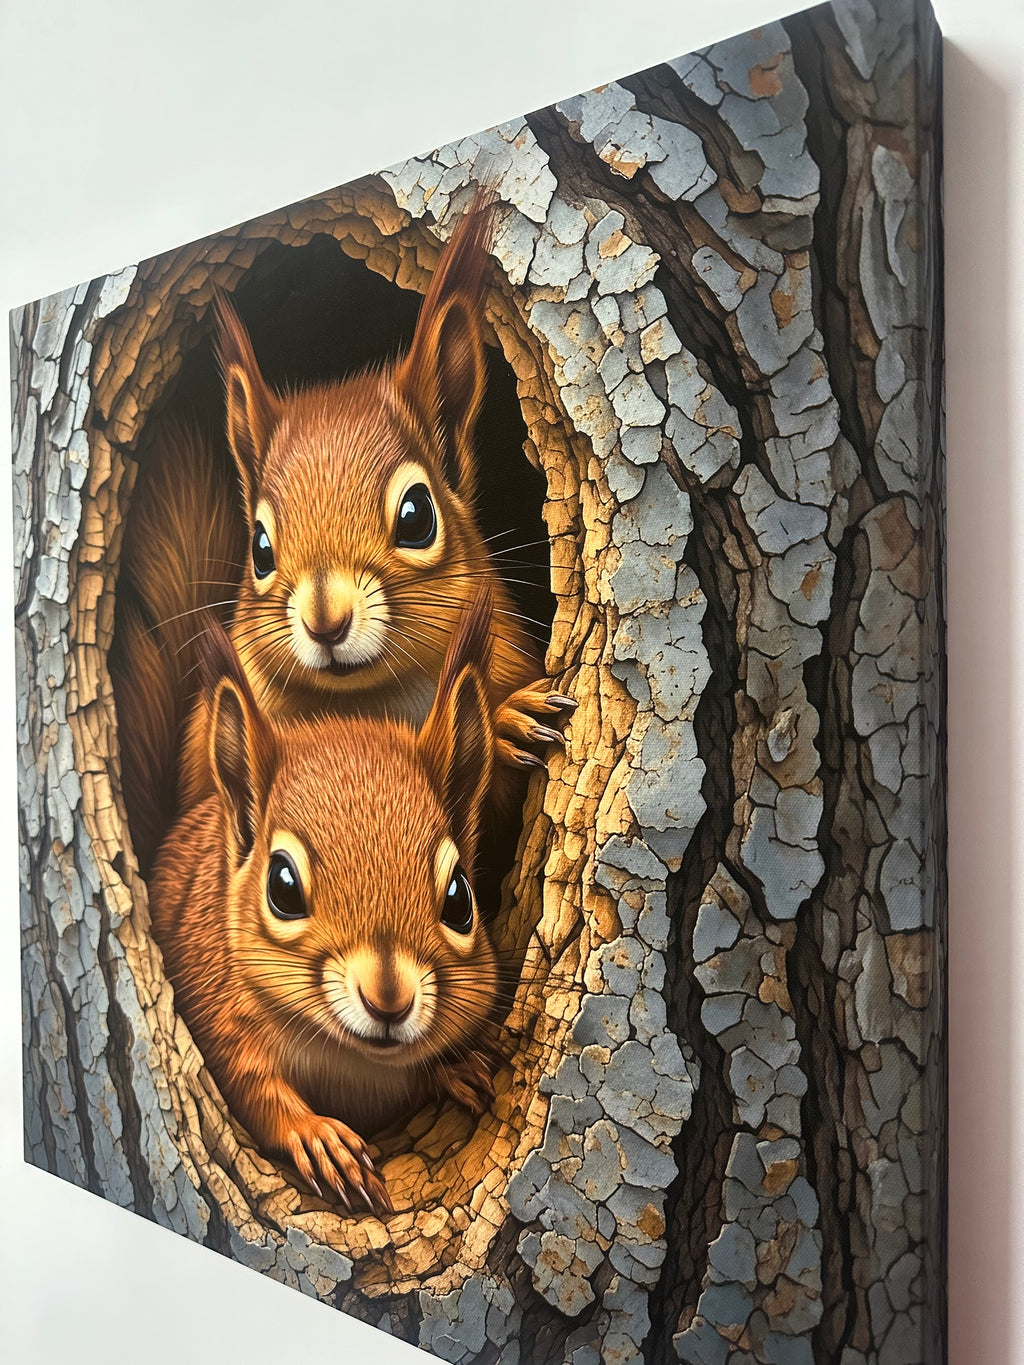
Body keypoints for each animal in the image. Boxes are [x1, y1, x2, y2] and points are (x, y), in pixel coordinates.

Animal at [147, 590, 503, 1213]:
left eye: (460, 898)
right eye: (283, 888)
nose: (389, 1000)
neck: (351, 1061)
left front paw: (457, 1069)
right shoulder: (213, 1009)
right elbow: (250, 1088)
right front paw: (319, 1139)